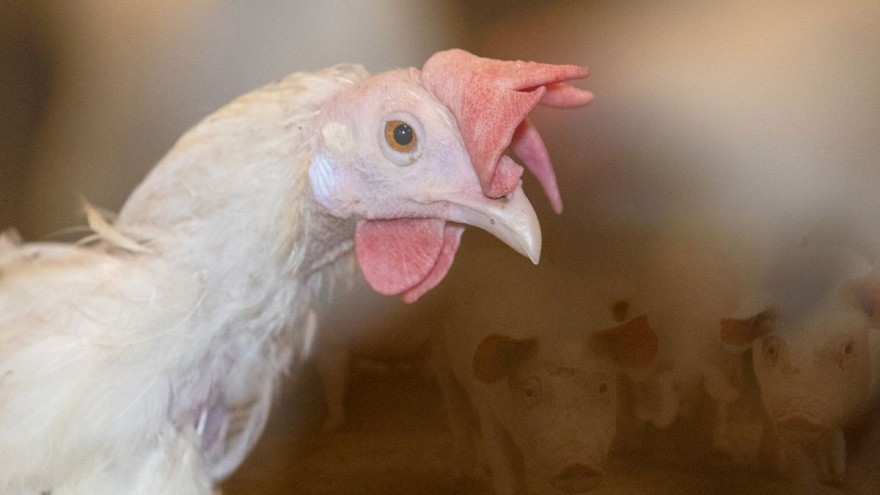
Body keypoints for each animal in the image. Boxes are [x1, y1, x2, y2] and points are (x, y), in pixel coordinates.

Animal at [430, 249, 658, 494]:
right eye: (529, 391)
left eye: (603, 387)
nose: (576, 465)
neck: (556, 330)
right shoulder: (490, 409)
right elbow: (507, 471)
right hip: (441, 351)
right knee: (456, 406)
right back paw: (467, 476)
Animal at [720, 246, 880, 494]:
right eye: (771, 349)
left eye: (847, 348)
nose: (798, 416)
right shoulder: (777, 410)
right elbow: (802, 470)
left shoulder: (872, 411)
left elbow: (863, 467)